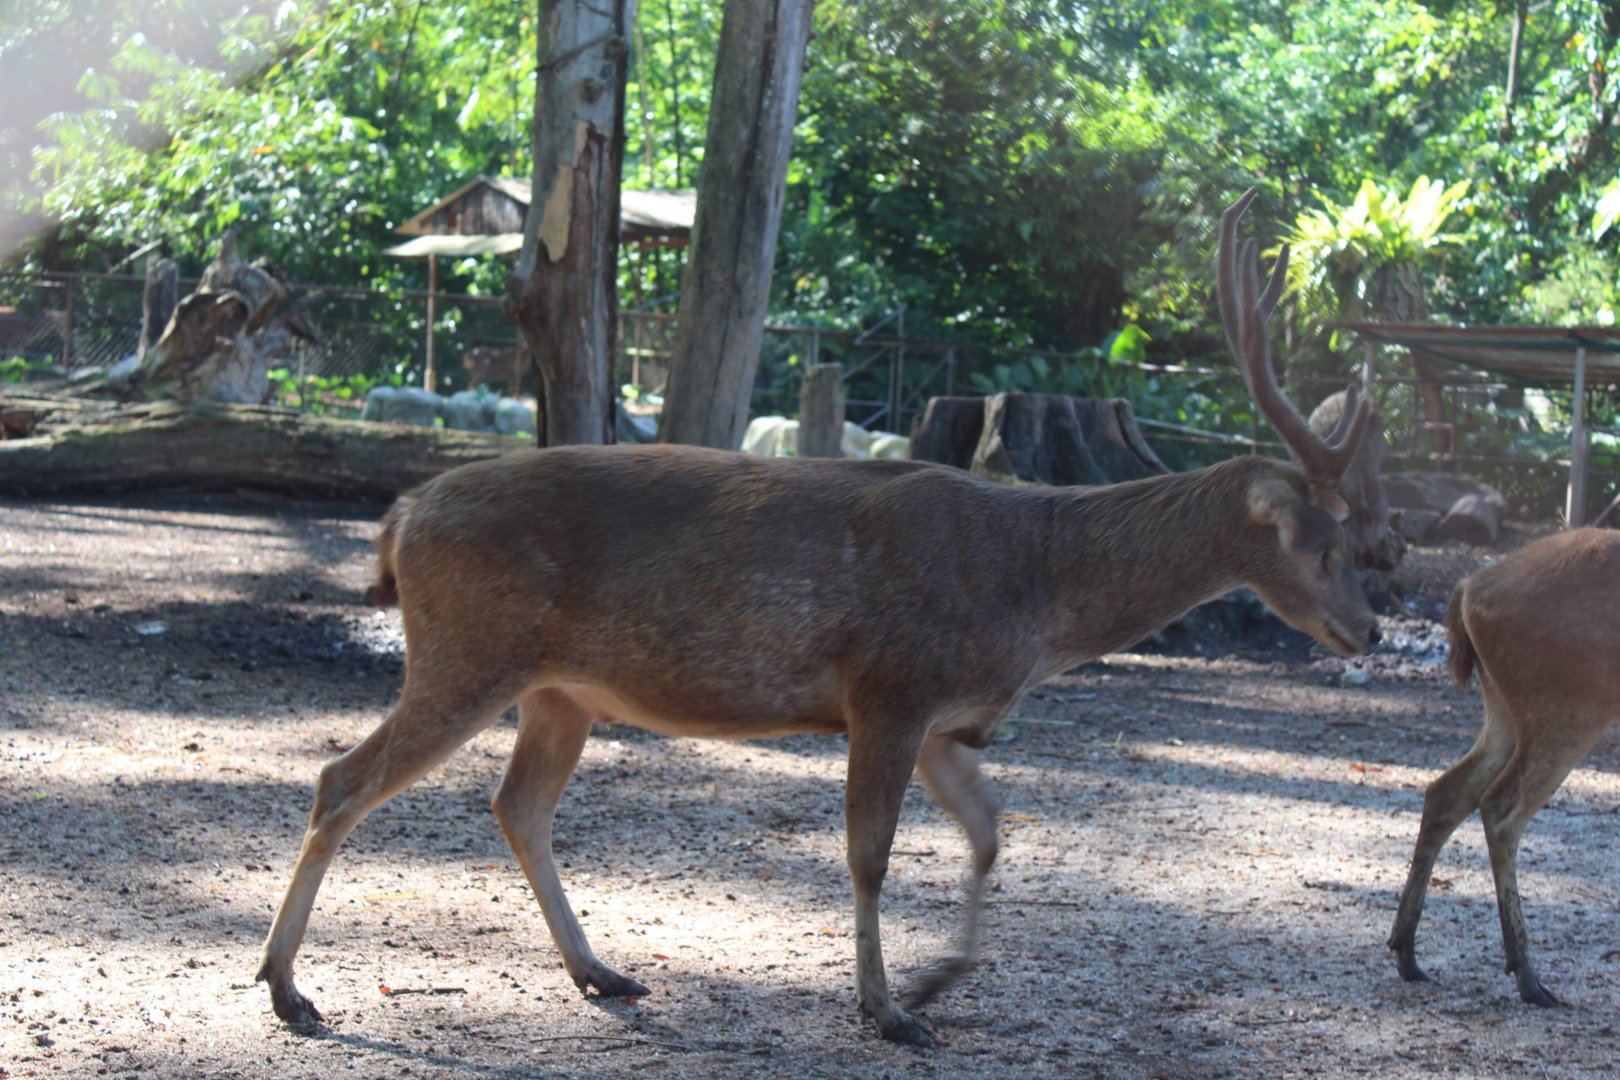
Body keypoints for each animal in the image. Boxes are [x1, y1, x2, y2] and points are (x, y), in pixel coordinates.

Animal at [256, 189, 1380, 1046]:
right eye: (1319, 541)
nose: (1369, 629)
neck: (1035, 592)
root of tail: (401, 515)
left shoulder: (947, 721)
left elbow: (989, 837)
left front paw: (933, 982)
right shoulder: (890, 685)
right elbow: (870, 854)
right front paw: (887, 1010)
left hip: (560, 691)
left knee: (517, 804)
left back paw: (601, 971)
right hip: (467, 650)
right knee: (341, 779)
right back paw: (287, 989)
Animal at [1389, 526, 1620, 1006]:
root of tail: (1468, 589)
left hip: (1505, 708)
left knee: (1446, 791)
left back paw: (1408, 954)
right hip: (1569, 704)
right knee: (1501, 806)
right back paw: (1529, 977)